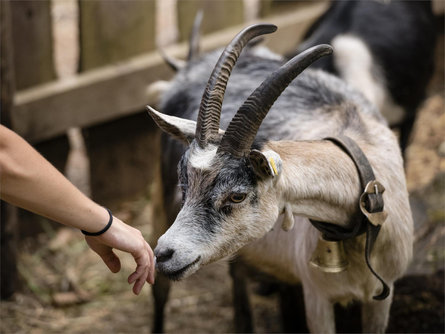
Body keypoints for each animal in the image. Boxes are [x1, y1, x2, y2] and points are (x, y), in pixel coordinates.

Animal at [147, 18, 412, 334]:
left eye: (237, 195)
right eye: (184, 184)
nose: (165, 254)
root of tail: (191, 65)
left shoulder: (382, 295)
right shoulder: (317, 296)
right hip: (162, 207)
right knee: (160, 291)